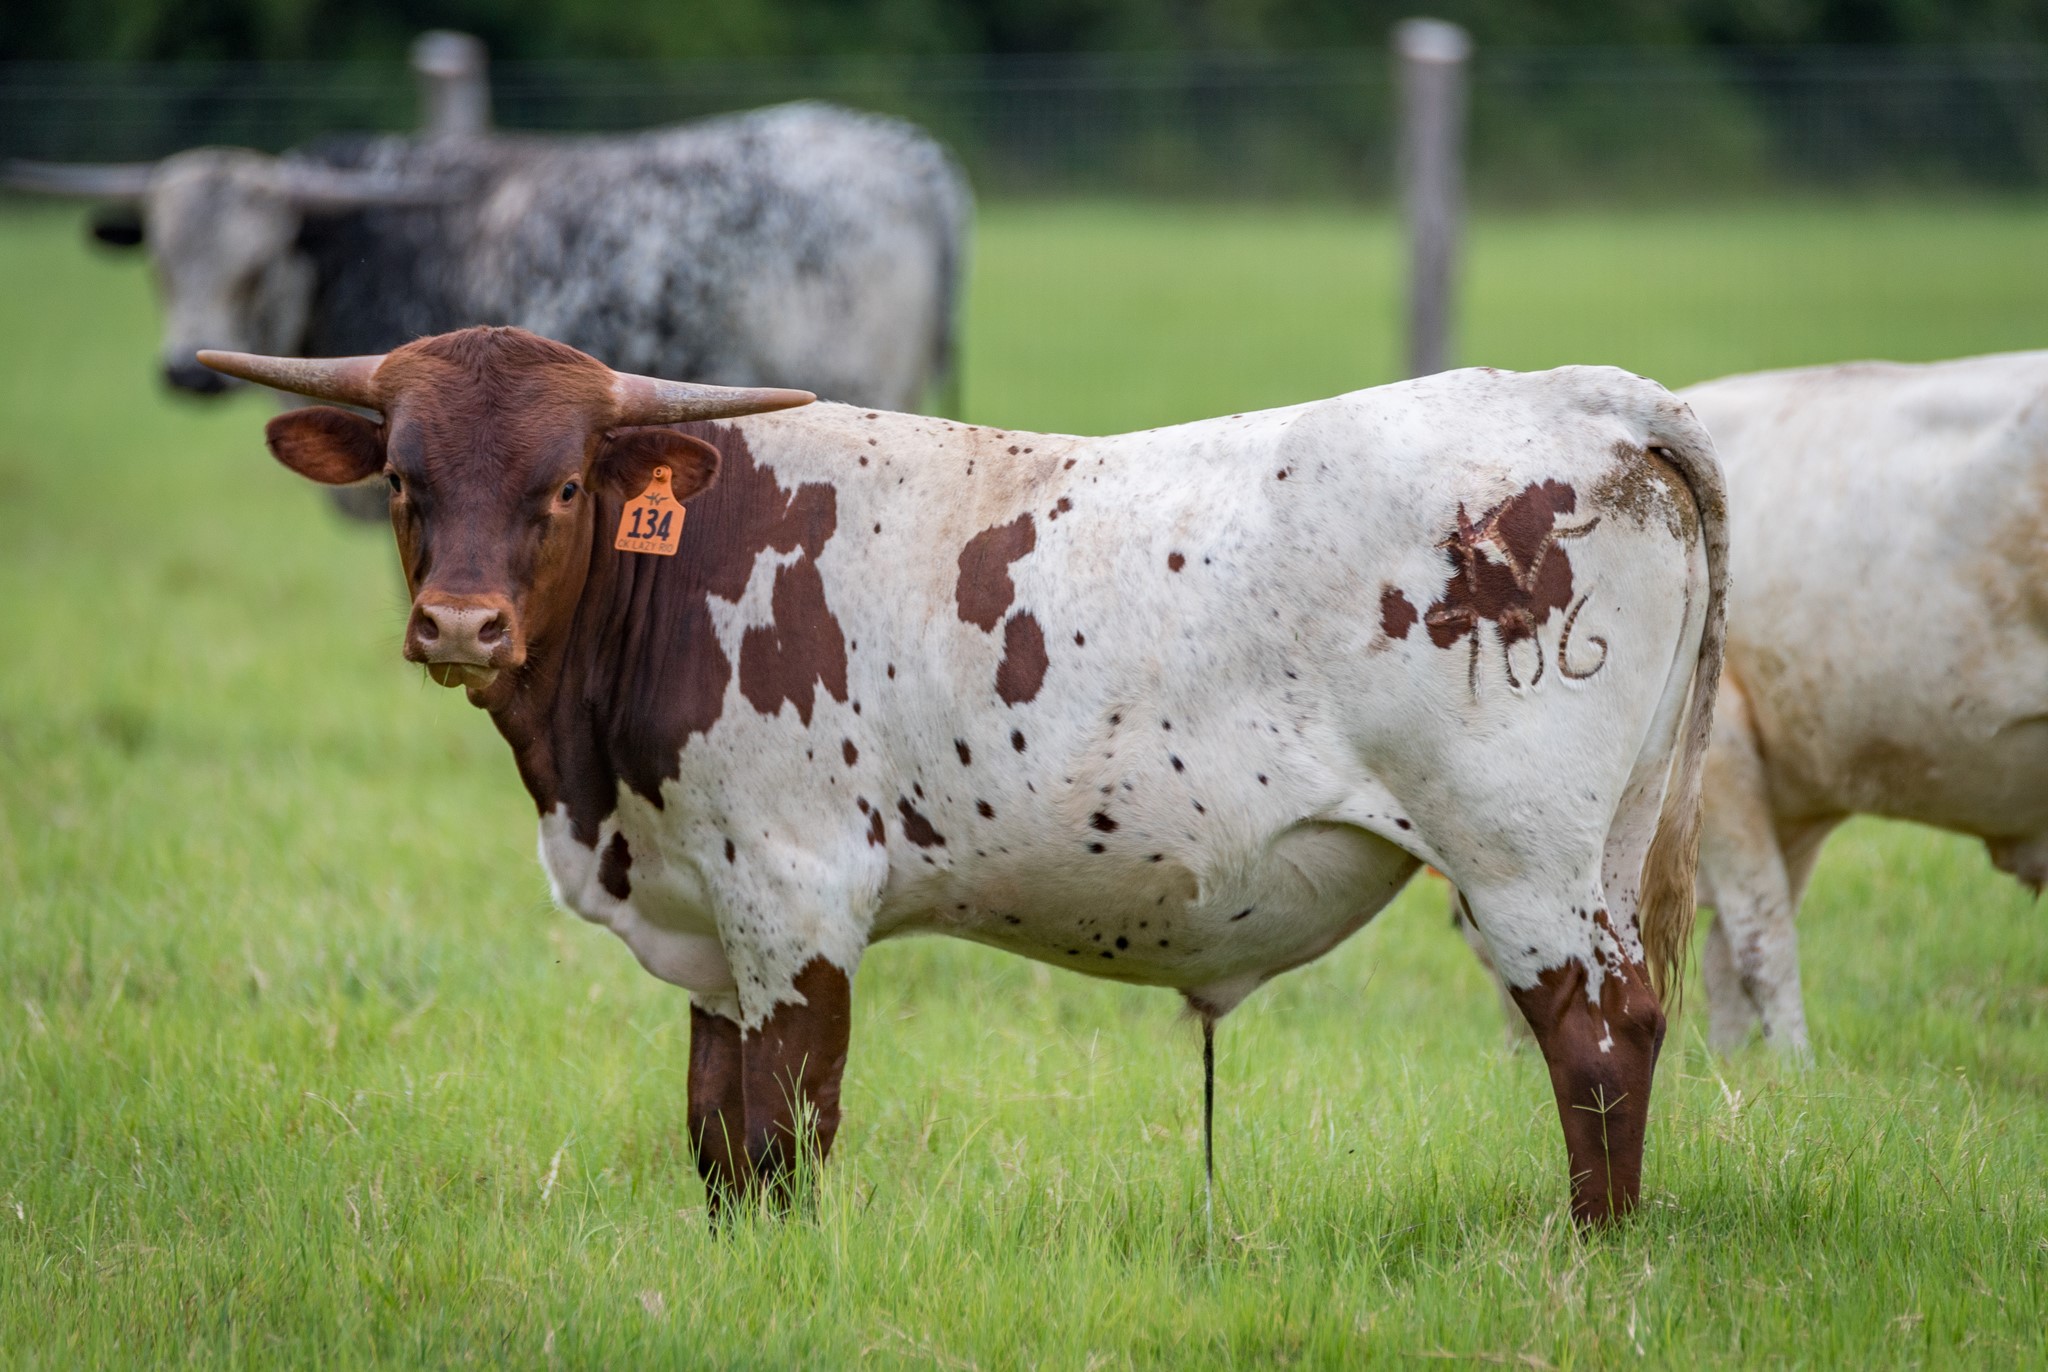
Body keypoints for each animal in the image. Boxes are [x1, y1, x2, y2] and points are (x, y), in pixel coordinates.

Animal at [200, 327, 1727, 1226]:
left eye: (564, 484)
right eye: (404, 479)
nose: (461, 626)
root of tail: (1581, 397)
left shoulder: (797, 893)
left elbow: (785, 1122)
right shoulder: (710, 909)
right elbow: (713, 1124)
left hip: (1524, 855)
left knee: (1600, 1040)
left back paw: (1590, 1252)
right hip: (1606, 839)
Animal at [1456, 351, 2048, 1058]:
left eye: (1472, 929)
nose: (1515, 1058)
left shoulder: (1727, 763)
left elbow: (1759, 947)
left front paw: (1795, 1064)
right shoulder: (1788, 807)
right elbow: (1727, 957)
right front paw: (1732, 1064)